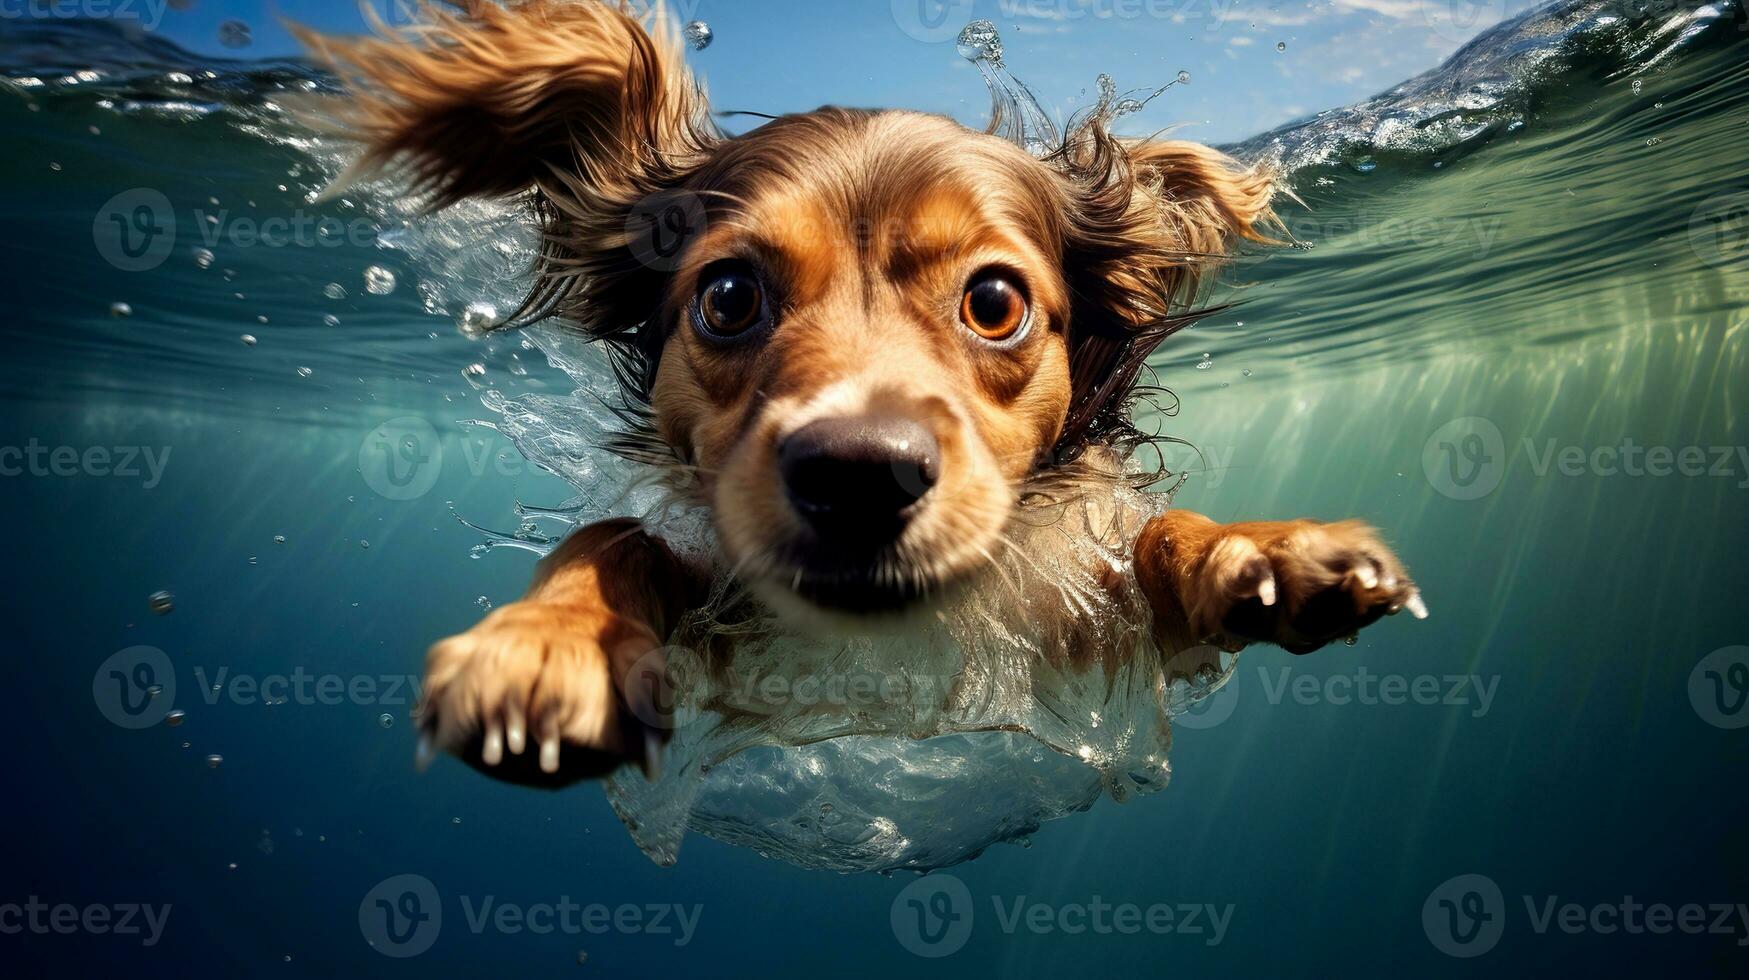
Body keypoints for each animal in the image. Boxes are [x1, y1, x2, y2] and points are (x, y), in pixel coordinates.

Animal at [300, 0, 1420, 784]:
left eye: (995, 301)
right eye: (728, 295)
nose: (860, 474)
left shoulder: (1105, 636)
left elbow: (1159, 537)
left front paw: (1264, 550)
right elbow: (612, 538)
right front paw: (547, 646)